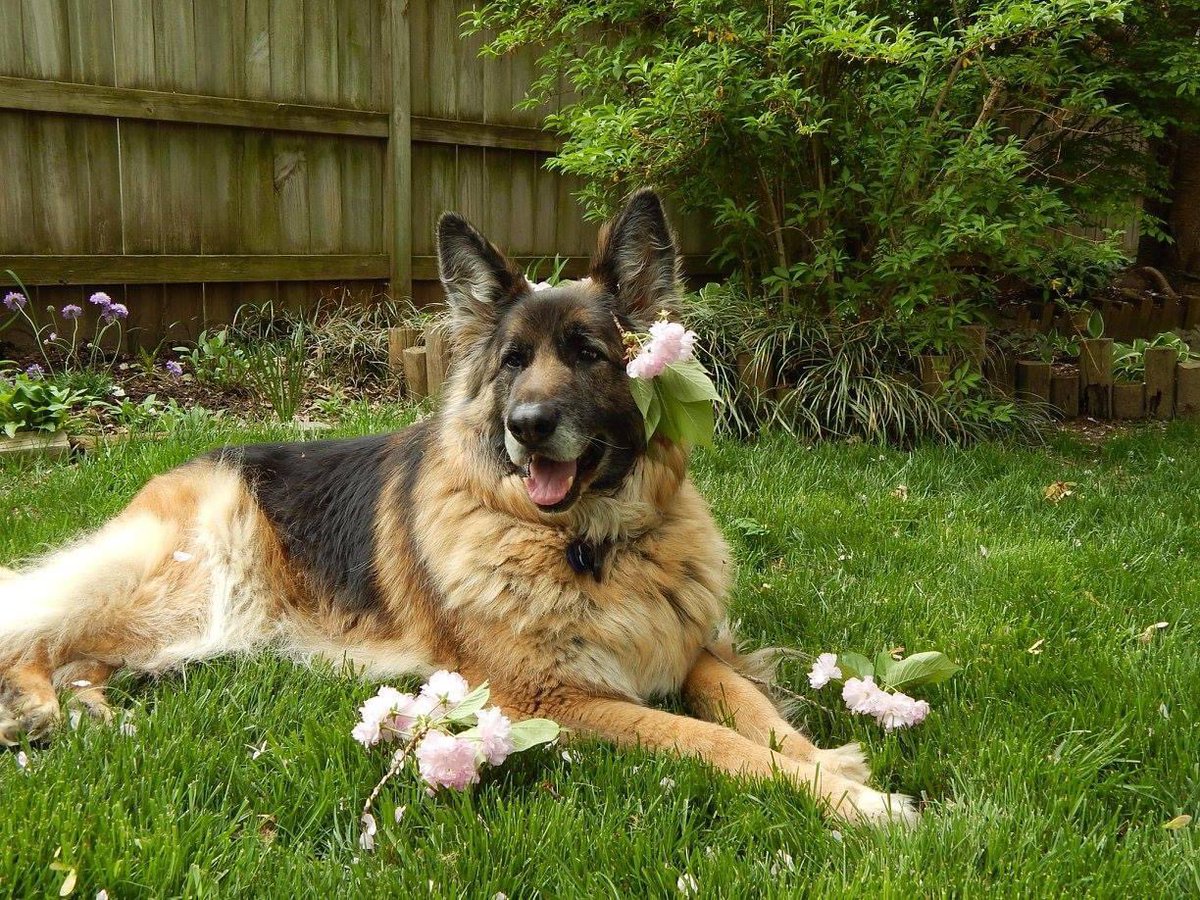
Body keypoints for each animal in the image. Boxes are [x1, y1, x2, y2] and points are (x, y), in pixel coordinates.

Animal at [0, 190, 912, 825]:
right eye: (512, 361)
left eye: (589, 354)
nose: (528, 428)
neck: (587, 543)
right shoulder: (549, 699)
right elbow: (708, 738)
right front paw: (850, 799)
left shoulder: (690, 648)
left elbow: (750, 712)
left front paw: (830, 764)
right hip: (185, 585)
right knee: (38, 628)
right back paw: (38, 708)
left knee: (87, 655)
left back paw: (93, 712)